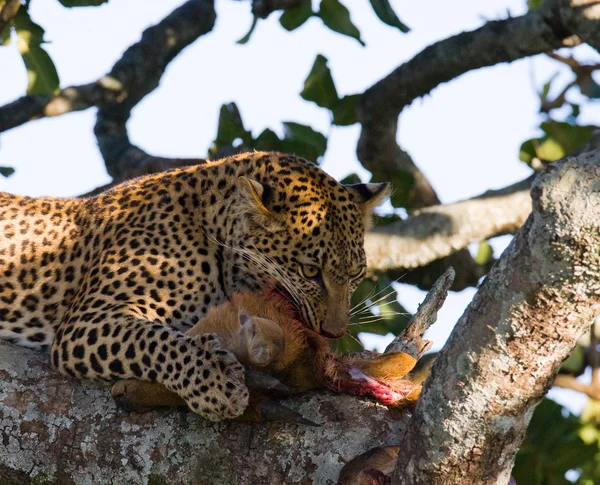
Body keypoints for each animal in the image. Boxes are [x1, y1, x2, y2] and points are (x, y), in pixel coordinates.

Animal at [0, 150, 390, 420]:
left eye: (356, 274)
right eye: (310, 271)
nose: (334, 333)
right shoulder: (87, 321)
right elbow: (153, 340)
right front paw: (217, 381)